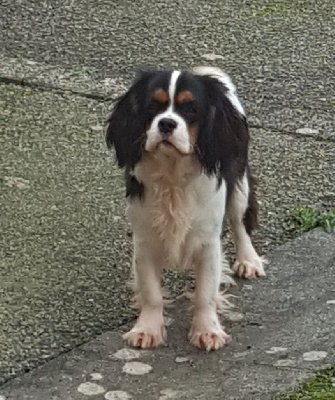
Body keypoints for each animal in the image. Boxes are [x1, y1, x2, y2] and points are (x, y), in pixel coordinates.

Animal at [106, 65, 266, 350]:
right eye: (152, 106)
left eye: (191, 109)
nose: (166, 123)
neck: (172, 173)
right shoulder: (144, 242)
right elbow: (151, 293)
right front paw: (147, 329)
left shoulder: (208, 243)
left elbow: (205, 293)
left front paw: (207, 331)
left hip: (240, 187)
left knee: (240, 223)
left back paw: (249, 261)